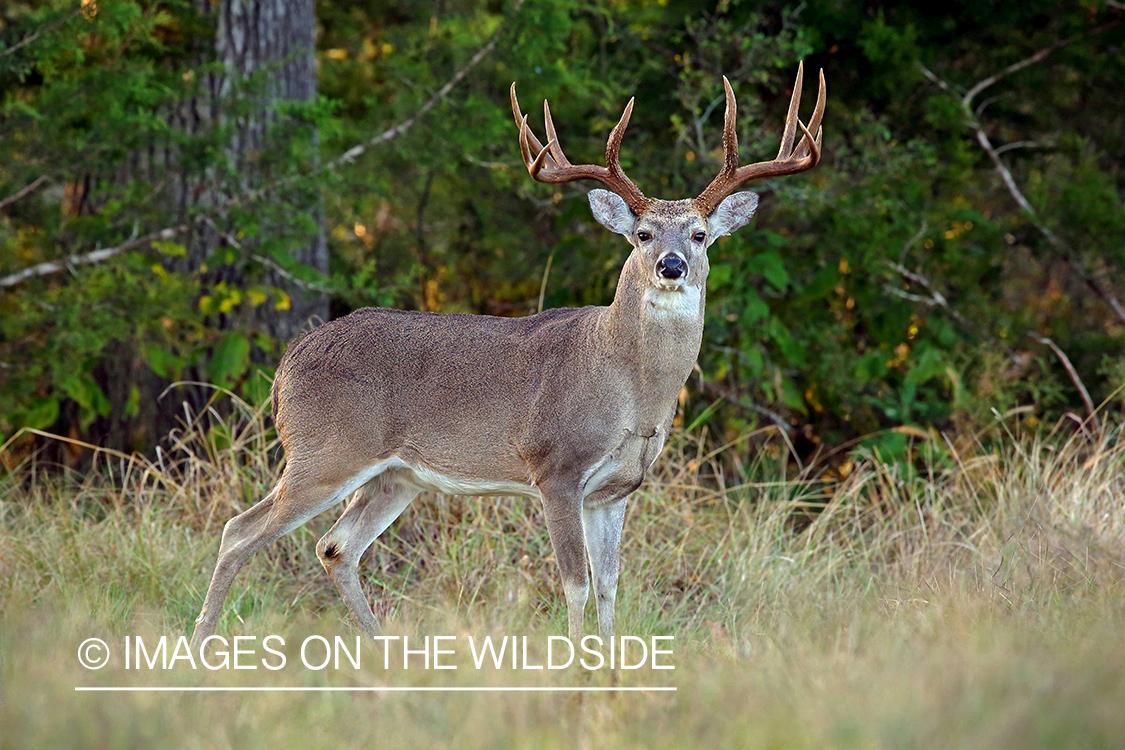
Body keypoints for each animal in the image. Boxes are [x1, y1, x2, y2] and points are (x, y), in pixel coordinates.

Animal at [189, 64, 828, 652]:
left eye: (699, 235)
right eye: (643, 235)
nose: (672, 266)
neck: (630, 388)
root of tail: (286, 364)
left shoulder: (616, 489)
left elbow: (609, 586)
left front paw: (611, 669)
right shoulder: (556, 468)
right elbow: (574, 583)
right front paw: (576, 669)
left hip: (395, 475)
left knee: (335, 546)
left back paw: (383, 652)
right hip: (325, 450)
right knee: (238, 530)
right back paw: (200, 647)